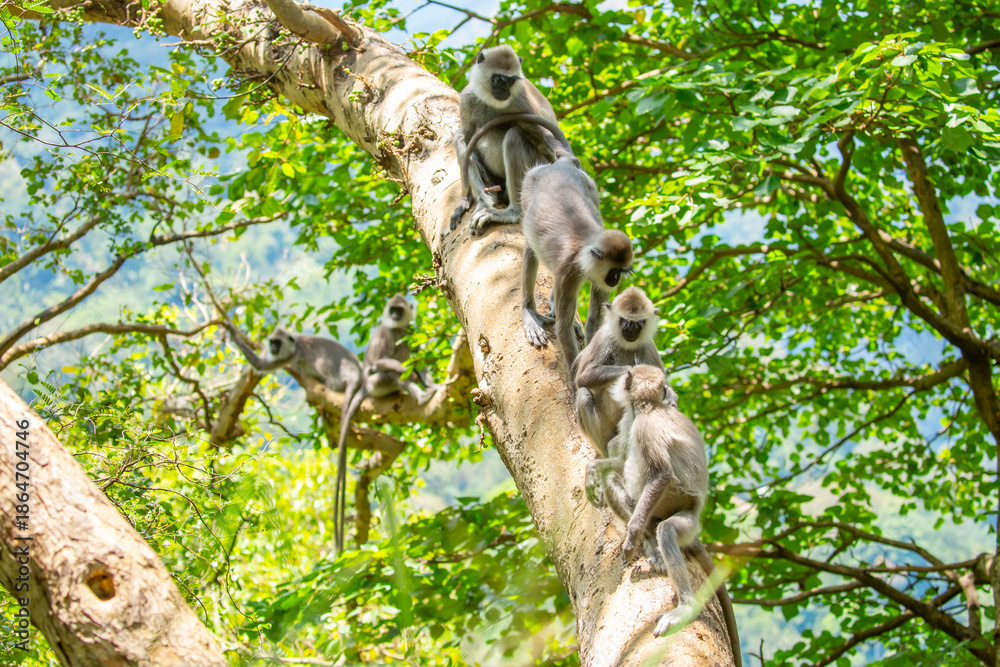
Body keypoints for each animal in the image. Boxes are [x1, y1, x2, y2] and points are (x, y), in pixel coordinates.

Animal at [450, 45, 565, 235]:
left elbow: (544, 136)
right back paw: (486, 200)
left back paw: (513, 212)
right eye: (499, 80)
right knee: (461, 138)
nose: (505, 91)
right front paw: (464, 200)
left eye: (510, 82)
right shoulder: (467, 98)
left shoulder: (521, 100)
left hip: (537, 161)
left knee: (513, 136)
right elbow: (467, 138)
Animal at [519, 156, 633, 387]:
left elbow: (595, 319)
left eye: (621, 271)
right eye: (614, 271)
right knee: (530, 247)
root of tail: (559, 165)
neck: (584, 248)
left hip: (589, 185)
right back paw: (529, 311)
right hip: (529, 183)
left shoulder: (599, 281)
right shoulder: (568, 271)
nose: (616, 279)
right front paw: (577, 384)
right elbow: (562, 329)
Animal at [573, 287, 663, 457]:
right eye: (624, 320)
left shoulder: (648, 345)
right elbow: (583, 377)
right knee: (583, 394)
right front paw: (632, 371)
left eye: (639, 323)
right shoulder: (603, 337)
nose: (631, 329)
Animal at [584, 365, 742, 666]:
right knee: (615, 477)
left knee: (667, 530)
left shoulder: (645, 426)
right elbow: (619, 462)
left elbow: (661, 474)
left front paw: (633, 534)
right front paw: (592, 470)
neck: (650, 407)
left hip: (684, 519)